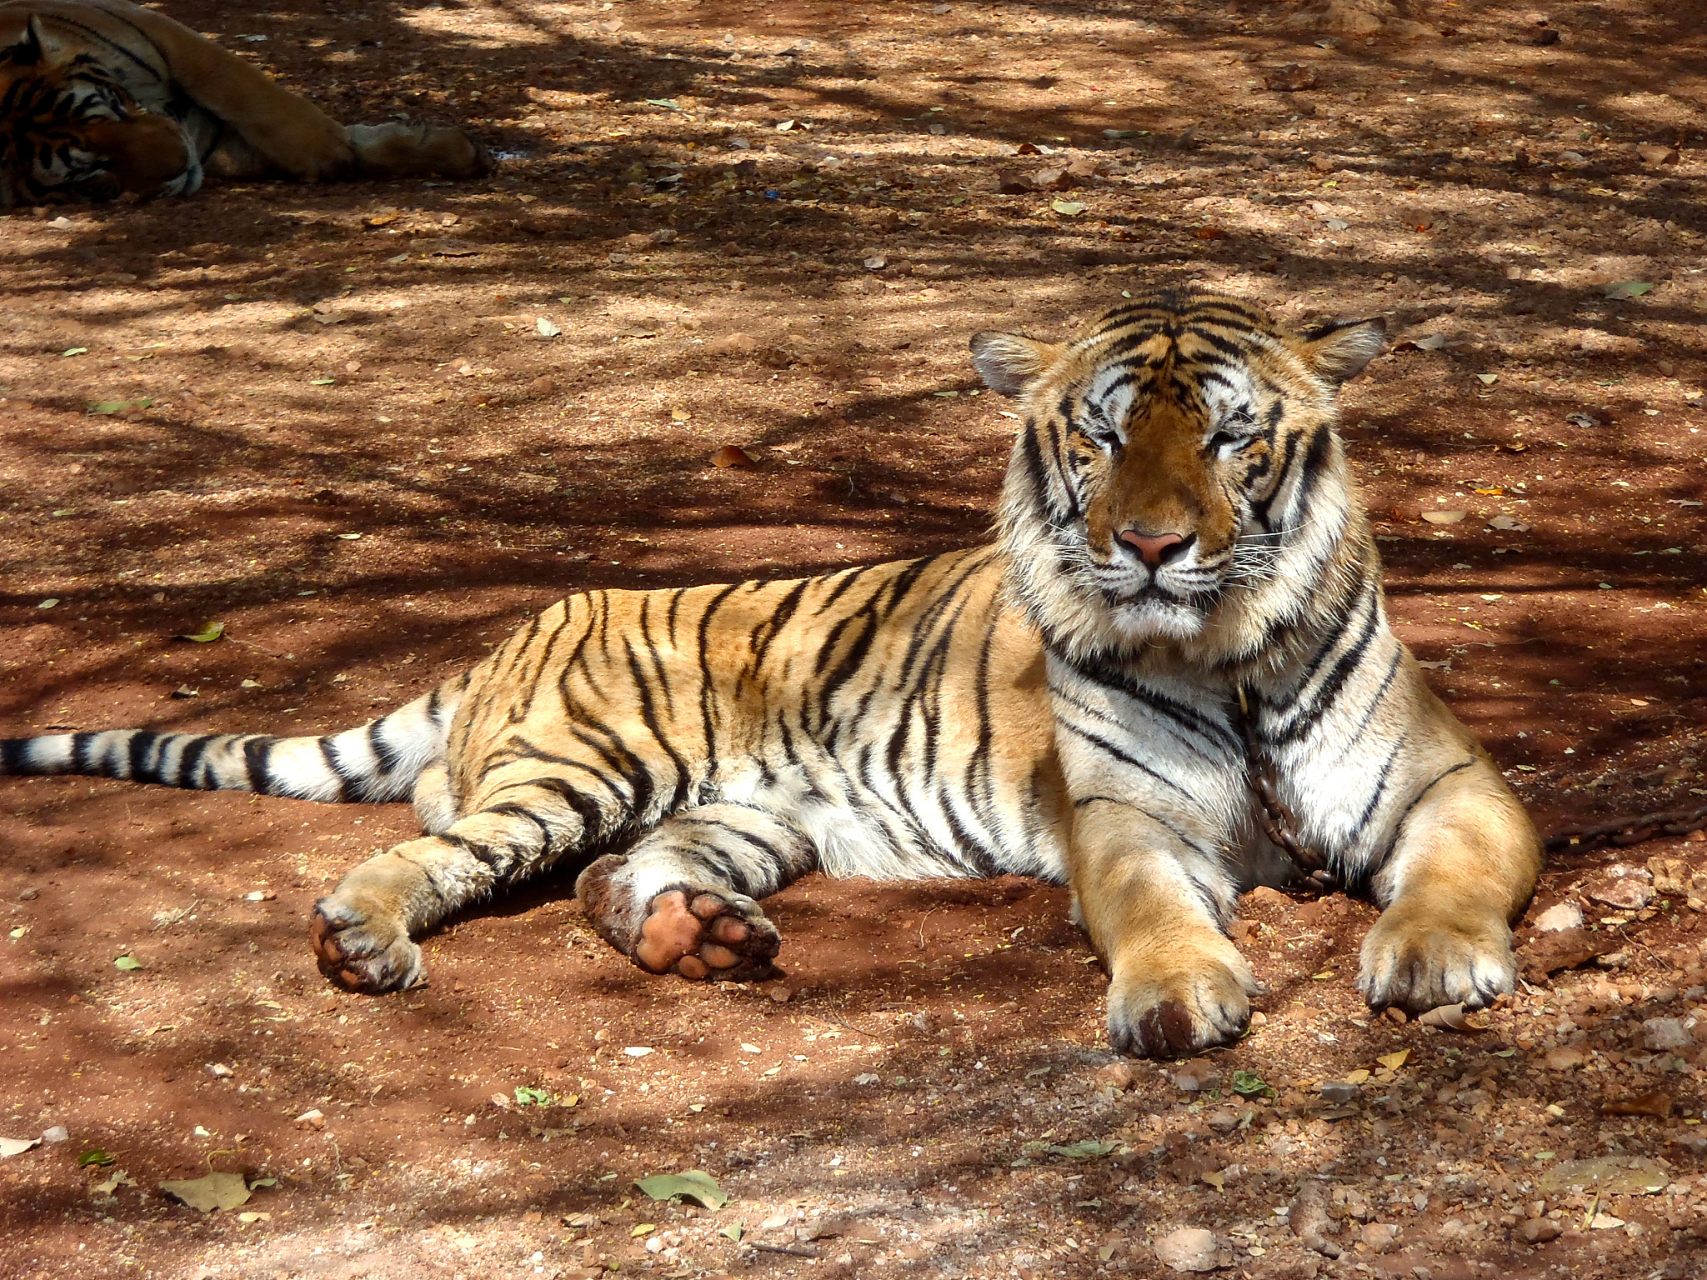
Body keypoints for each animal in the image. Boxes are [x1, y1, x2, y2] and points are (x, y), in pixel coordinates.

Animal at [0, 0, 490, 206]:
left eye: (114, 107)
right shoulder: (201, 138)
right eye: (93, 173)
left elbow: (249, 92)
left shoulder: (164, 33)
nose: (181, 164)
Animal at [0, 291, 1542, 1058]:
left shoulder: (1451, 785)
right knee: (432, 855)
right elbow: (1157, 915)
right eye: (1102, 437)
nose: (1152, 547)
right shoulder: (1125, 825)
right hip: (581, 767)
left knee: (610, 879)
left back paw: (700, 938)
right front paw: (1176, 998)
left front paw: (1432, 957)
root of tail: (507, 634)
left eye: (1228, 436)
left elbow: (1452, 875)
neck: (1218, 653)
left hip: (741, 815)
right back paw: (361, 940)